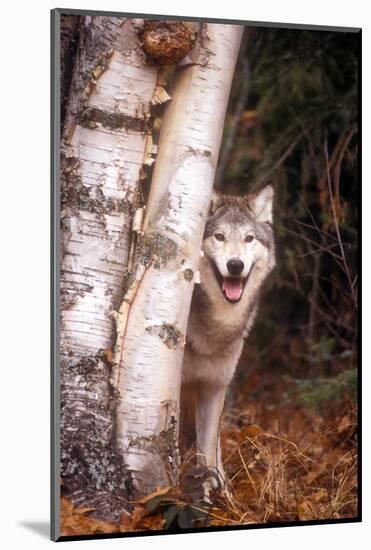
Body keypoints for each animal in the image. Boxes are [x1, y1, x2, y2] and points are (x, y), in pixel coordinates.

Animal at [180, 184, 276, 492]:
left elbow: (209, 447)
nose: (235, 265)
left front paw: (217, 492)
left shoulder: (214, 386)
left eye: (249, 238)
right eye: (219, 236)